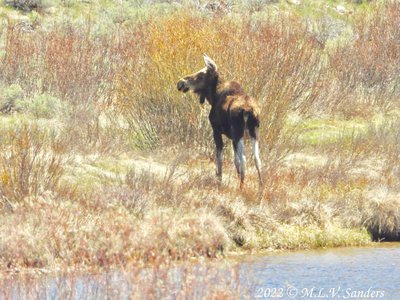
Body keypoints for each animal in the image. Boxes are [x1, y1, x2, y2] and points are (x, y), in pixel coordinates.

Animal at [177, 54, 260, 188]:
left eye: (201, 75)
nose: (180, 83)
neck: (212, 96)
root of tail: (248, 110)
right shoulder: (232, 138)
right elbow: (235, 161)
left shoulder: (216, 131)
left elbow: (220, 158)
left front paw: (219, 180)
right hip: (254, 132)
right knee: (257, 158)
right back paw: (261, 187)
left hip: (239, 133)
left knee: (244, 159)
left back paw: (242, 187)